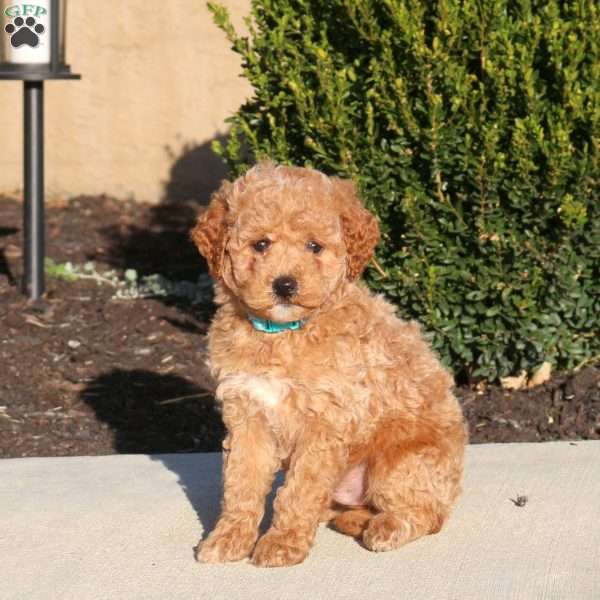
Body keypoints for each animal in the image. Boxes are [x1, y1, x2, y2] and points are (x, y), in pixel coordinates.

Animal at [192, 161, 468, 568]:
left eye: (314, 246)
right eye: (261, 244)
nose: (285, 285)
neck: (281, 334)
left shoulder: (325, 421)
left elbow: (300, 490)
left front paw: (282, 543)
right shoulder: (247, 413)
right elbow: (241, 483)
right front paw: (228, 538)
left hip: (401, 462)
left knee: (427, 514)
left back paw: (384, 528)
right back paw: (351, 518)